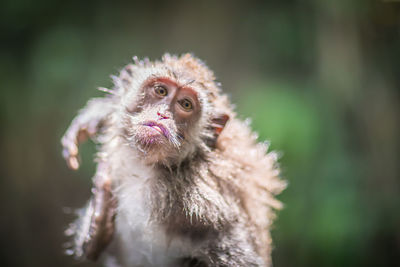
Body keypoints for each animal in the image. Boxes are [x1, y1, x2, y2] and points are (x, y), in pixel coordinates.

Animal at [61, 53, 286, 266]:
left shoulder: (206, 205)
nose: (163, 114)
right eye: (161, 91)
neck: (149, 168)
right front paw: (96, 230)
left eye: (186, 104)